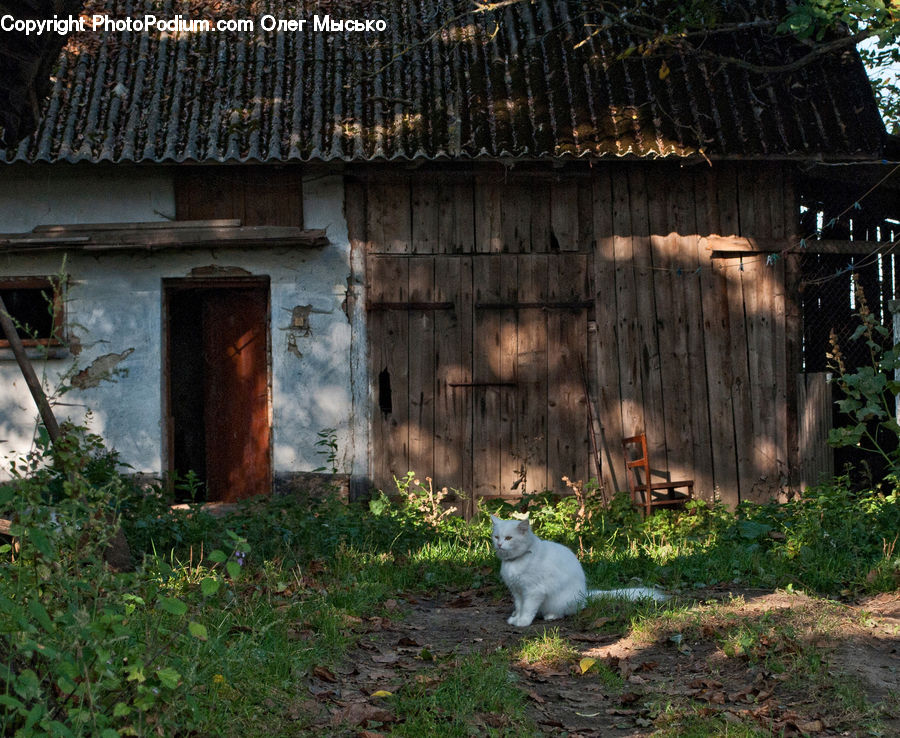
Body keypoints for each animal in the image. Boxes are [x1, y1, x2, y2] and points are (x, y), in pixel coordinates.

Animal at [488, 512, 664, 628]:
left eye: (509, 538)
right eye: (496, 537)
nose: (499, 544)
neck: (515, 561)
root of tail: (584, 594)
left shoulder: (533, 591)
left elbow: (527, 609)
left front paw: (522, 622)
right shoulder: (517, 591)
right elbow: (519, 606)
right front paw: (515, 618)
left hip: (560, 600)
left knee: (567, 611)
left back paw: (551, 616)